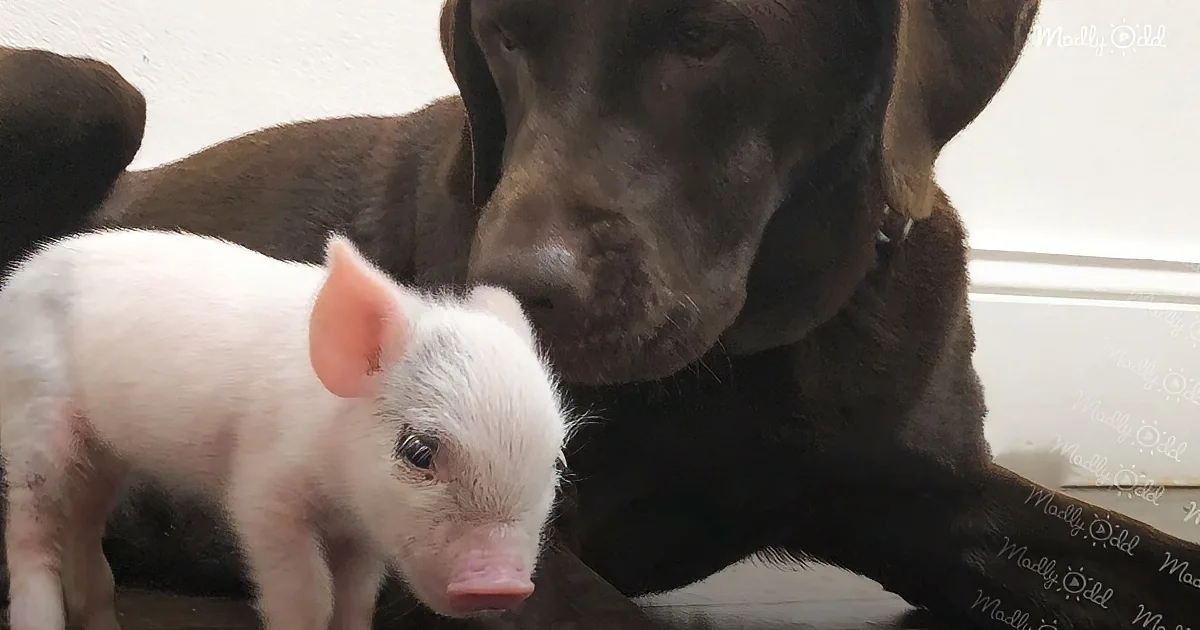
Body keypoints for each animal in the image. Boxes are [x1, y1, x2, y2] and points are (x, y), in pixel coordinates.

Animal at [0, 228, 572, 630]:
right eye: (418, 451)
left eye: (557, 463)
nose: (502, 586)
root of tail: (18, 278)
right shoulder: (263, 486)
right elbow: (307, 597)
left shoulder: (362, 532)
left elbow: (357, 602)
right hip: (34, 420)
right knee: (30, 536)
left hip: (103, 455)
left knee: (83, 527)